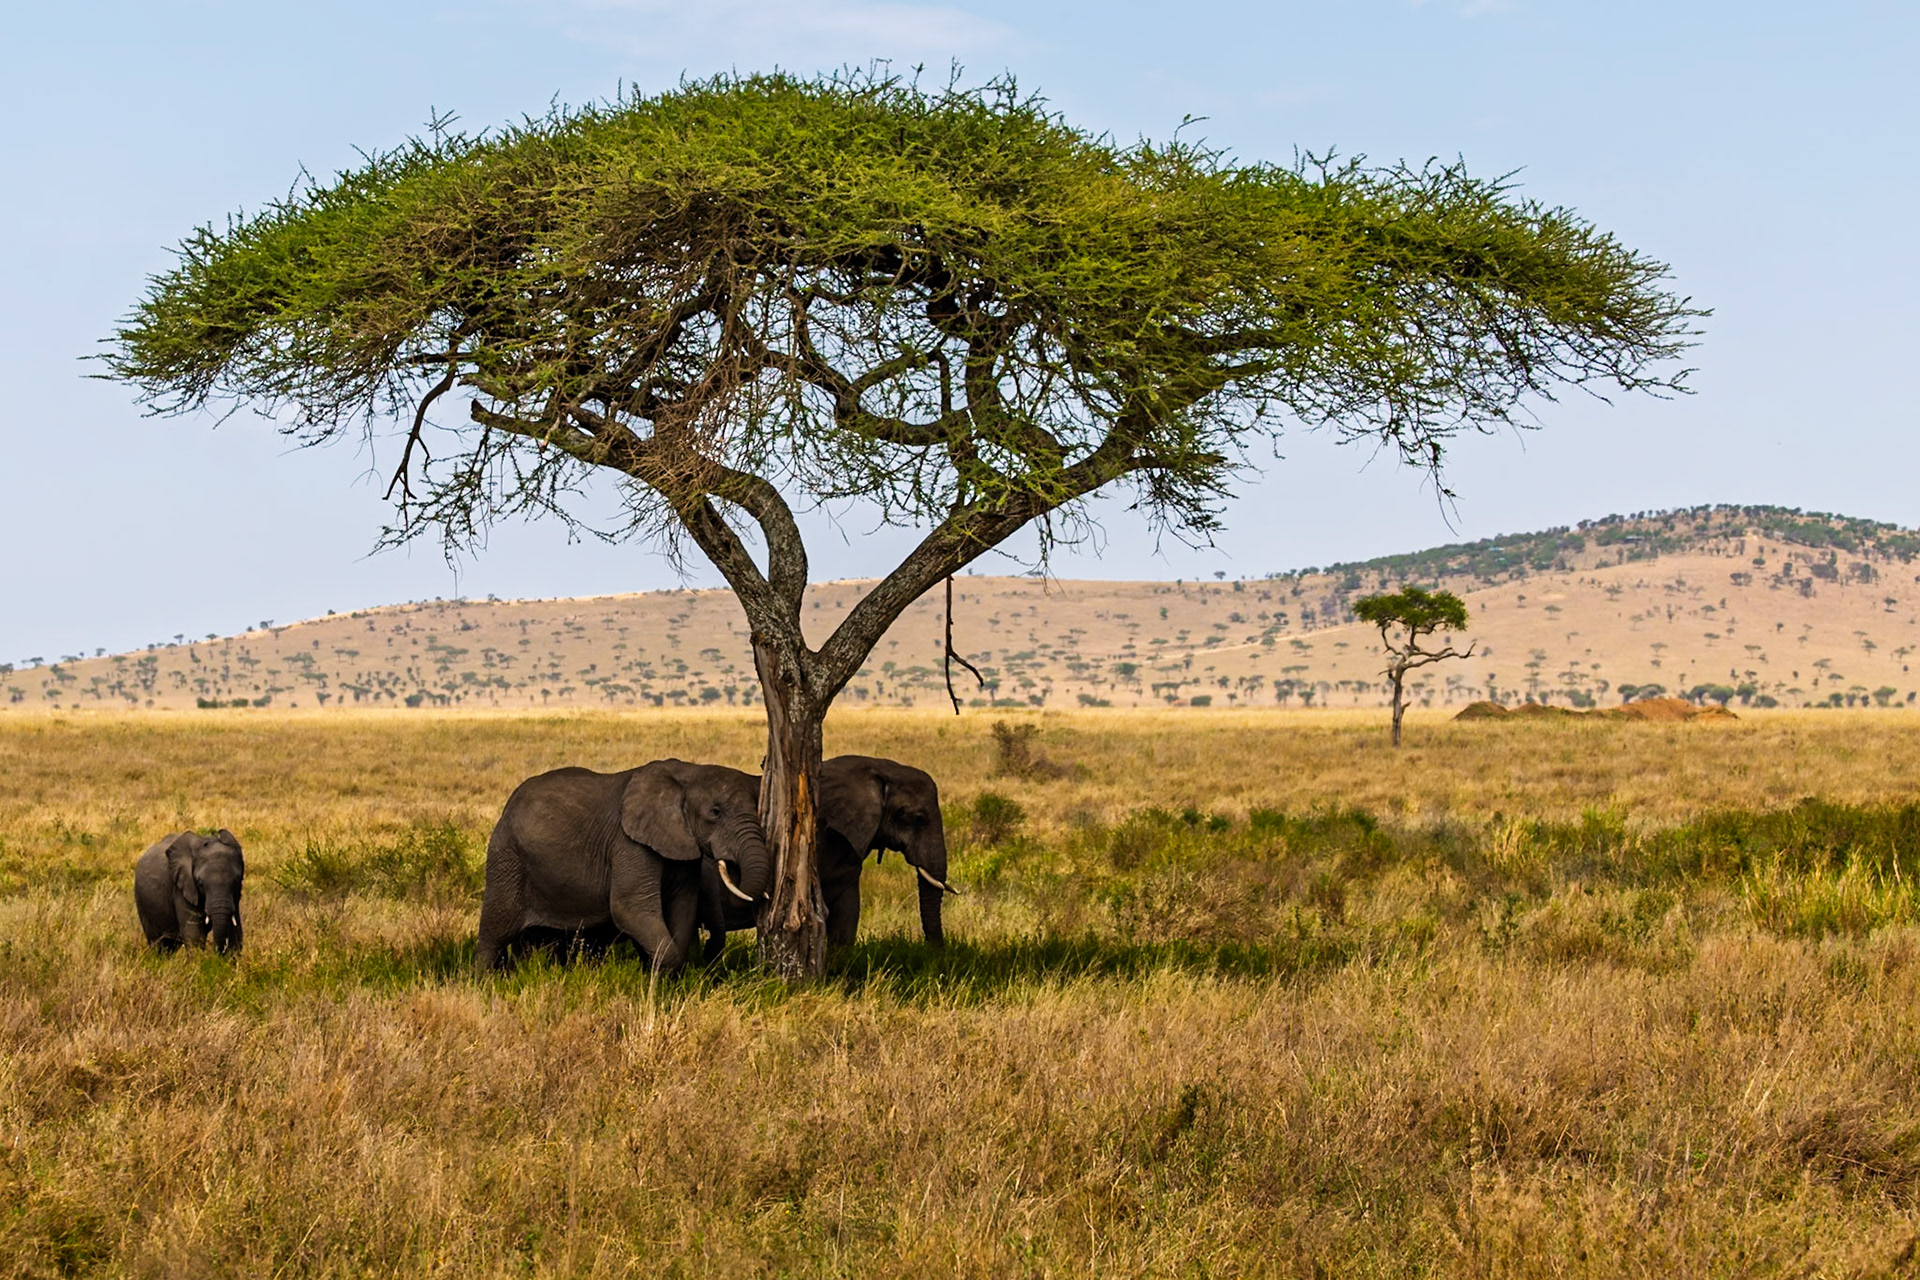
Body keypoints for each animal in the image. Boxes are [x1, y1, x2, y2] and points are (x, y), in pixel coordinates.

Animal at [476, 759, 772, 973]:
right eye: (715, 813)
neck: (688, 770)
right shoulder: (628, 844)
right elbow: (630, 908)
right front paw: (657, 982)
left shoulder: (683, 850)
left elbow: (682, 907)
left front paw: (666, 981)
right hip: (507, 859)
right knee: (495, 931)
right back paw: (487, 983)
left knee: (535, 939)